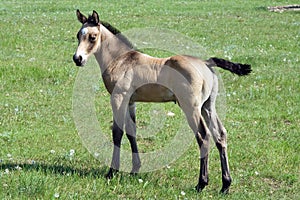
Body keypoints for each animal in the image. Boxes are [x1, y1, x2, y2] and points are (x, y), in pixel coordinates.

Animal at [72, 9, 251, 194]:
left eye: (92, 37)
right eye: (78, 35)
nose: (77, 58)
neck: (120, 60)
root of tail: (206, 62)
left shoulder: (118, 98)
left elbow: (117, 133)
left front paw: (111, 172)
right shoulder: (130, 102)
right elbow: (131, 132)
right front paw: (135, 169)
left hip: (191, 108)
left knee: (203, 136)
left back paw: (201, 183)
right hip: (208, 106)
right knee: (220, 135)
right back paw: (225, 185)